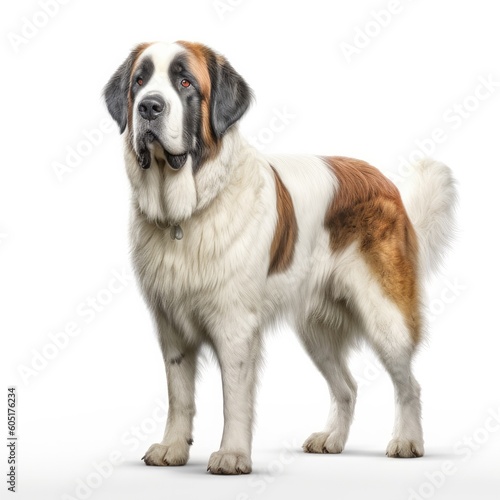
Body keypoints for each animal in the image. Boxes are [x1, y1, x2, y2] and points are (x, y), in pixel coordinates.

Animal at [104, 41, 458, 474]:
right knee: (347, 386)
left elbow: (234, 398)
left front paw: (233, 455)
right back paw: (332, 439)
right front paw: (173, 447)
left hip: (384, 315)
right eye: (139, 81)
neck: (186, 215)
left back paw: (408, 441)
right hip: (315, 329)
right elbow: (179, 395)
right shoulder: (171, 326)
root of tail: (385, 182)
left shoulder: (236, 327)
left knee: (409, 383)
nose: (149, 107)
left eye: (185, 82)